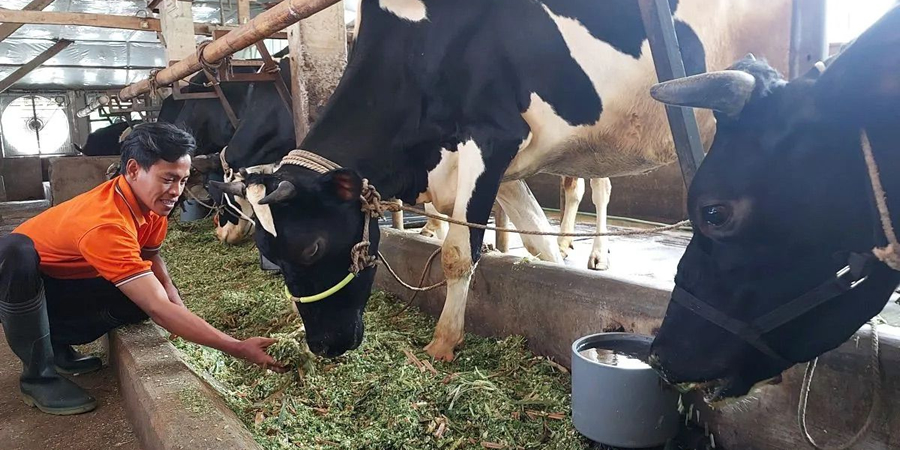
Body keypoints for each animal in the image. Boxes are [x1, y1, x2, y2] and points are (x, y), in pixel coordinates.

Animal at [213, 0, 792, 360]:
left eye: (310, 247)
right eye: (270, 250)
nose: (324, 347)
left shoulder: (491, 135)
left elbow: (457, 253)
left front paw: (444, 341)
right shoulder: (497, 161)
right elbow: (533, 238)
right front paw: (549, 263)